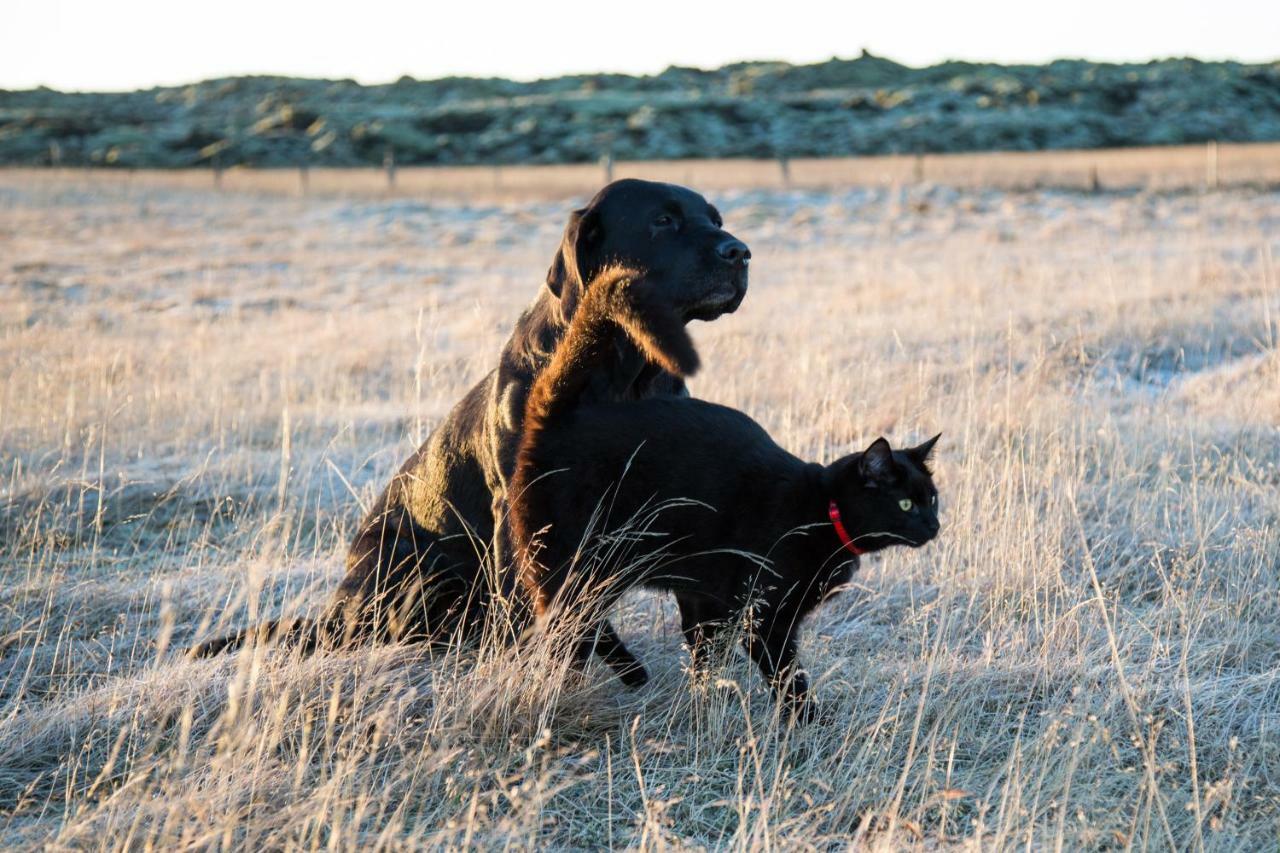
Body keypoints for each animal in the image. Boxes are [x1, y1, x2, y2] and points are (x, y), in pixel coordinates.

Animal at [189, 178, 747, 655]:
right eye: (663, 220)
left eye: (716, 218)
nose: (740, 252)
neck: (623, 373)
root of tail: (331, 612)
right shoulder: (521, 506)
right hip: (414, 559)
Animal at [509, 267, 942, 717]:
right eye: (906, 504)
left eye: (932, 498)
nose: (934, 526)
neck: (822, 510)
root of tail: (555, 421)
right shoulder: (765, 616)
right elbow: (788, 675)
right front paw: (808, 719)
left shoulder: (708, 602)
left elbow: (706, 656)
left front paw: (707, 699)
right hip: (581, 565)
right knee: (571, 628)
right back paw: (615, 676)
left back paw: (631, 674)